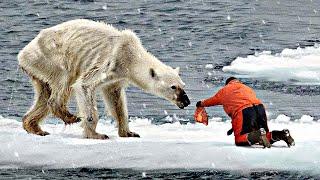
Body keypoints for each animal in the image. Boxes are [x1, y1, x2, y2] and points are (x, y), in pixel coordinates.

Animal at [18, 19, 190, 139]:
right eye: (173, 87)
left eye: (183, 84)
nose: (186, 101)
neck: (132, 55)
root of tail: (22, 53)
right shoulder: (110, 62)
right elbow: (84, 85)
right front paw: (96, 134)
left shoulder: (118, 76)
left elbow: (116, 99)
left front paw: (129, 132)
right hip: (50, 57)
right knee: (64, 82)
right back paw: (69, 116)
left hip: (38, 69)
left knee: (44, 94)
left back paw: (35, 127)